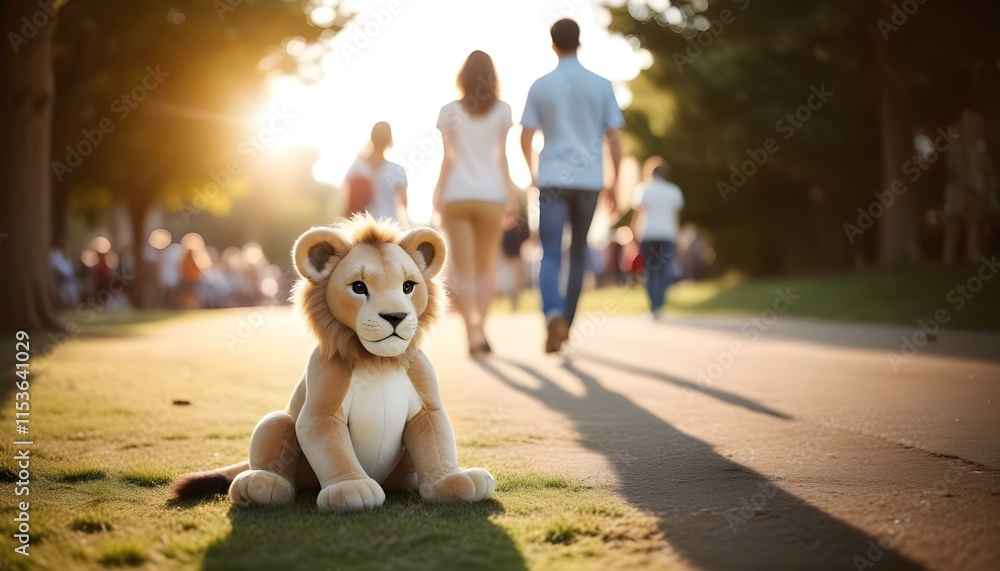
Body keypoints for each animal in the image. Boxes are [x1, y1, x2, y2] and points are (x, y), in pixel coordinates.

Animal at [170, 215, 495, 511]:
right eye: (359, 287)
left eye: (408, 287)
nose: (395, 316)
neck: (378, 362)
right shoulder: (322, 404)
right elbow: (332, 447)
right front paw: (351, 488)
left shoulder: (424, 395)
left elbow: (435, 437)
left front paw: (452, 482)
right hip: (279, 424)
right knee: (275, 430)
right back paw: (260, 483)